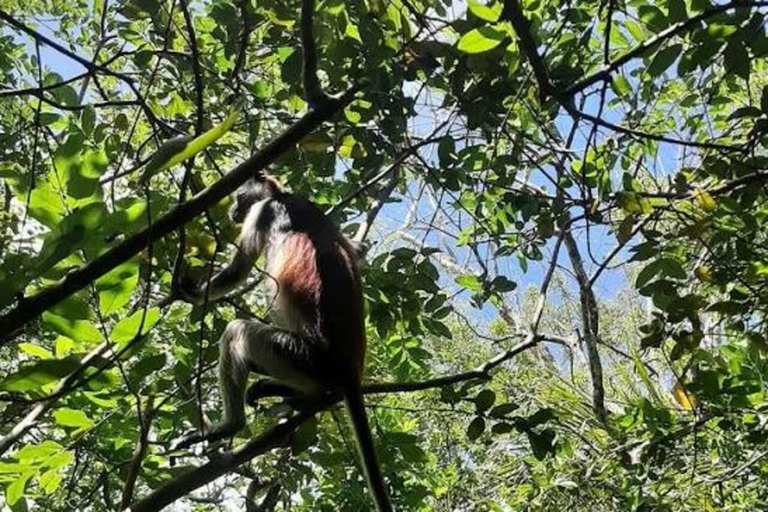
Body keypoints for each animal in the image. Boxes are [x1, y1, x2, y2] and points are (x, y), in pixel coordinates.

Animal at [177, 175, 392, 512]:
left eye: (239, 197)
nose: (232, 210)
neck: (285, 196)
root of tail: (350, 368)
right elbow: (357, 252)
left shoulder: (263, 211)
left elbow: (238, 271)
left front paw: (192, 292)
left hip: (304, 357)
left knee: (238, 331)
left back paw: (231, 425)